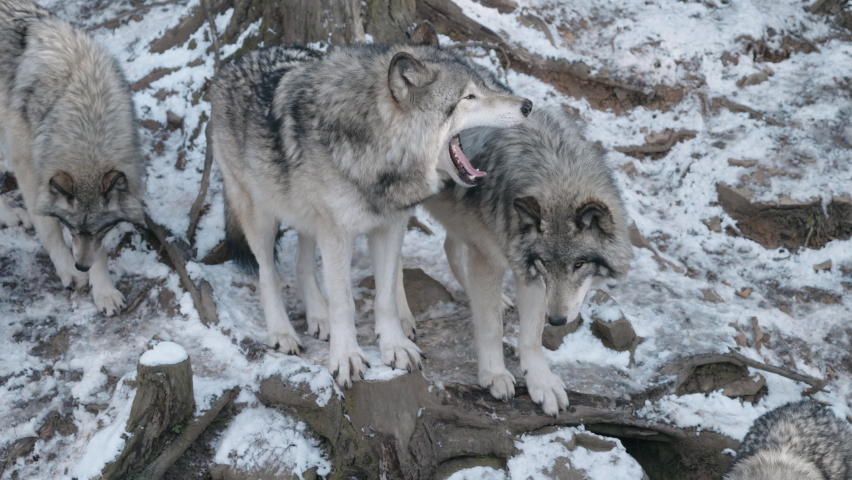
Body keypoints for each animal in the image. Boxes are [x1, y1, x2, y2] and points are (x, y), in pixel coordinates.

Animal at [0, 0, 145, 315]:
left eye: (101, 229)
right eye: (72, 227)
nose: (81, 266)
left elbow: (99, 251)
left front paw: (103, 290)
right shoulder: (28, 166)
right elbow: (48, 227)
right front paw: (68, 269)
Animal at [209, 33, 532, 387]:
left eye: (484, 87)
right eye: (468, 97)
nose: (527, 105)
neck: (374, 148)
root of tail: (235, 62)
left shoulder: (390, 226)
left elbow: (386, 296)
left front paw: (395, 346)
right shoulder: (337, 234)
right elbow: (344, 304)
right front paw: (346, 357)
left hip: (307, 215)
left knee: (301, 263)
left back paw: (318, 316)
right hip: (261, 215)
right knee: (267, 274)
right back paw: (282, 331)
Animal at [399, 106, 633, 415]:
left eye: (578, 265)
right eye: (547, 263)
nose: (556, 320)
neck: (554, 168)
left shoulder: (528, 271)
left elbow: (531, 336)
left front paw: (541, 382)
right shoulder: (490, 259)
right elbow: (491, 326)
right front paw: (494, 374)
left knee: (450, 248)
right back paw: (401, 318)